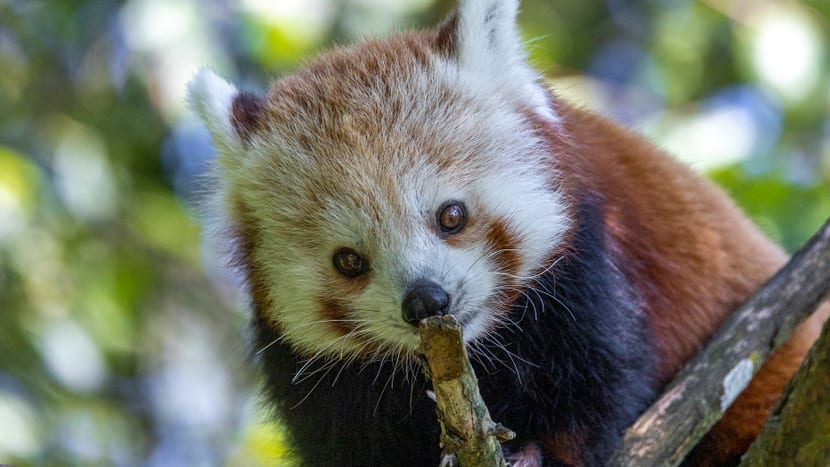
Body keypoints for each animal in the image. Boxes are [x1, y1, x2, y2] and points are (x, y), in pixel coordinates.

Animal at [188, 1, 830, 466]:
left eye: (450, 216)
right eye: (349, 260)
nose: (427, 301)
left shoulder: (588, 268)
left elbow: (597, 393)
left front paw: (537, 454)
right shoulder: (326, 384)